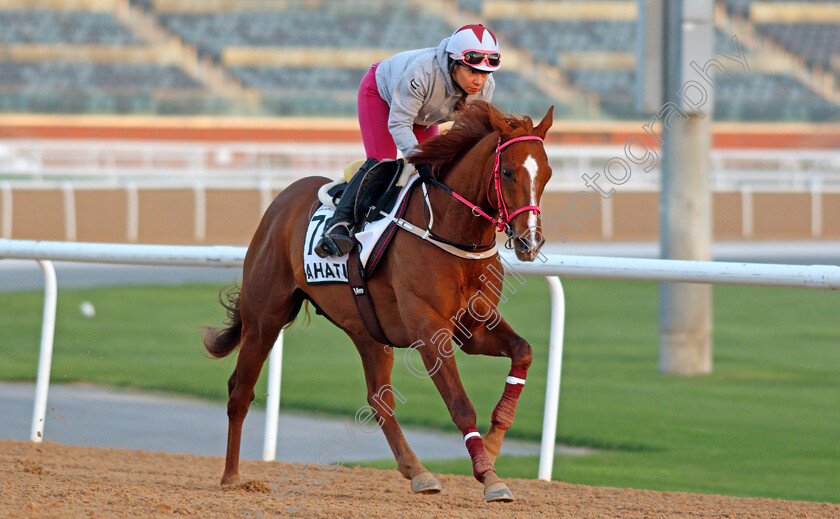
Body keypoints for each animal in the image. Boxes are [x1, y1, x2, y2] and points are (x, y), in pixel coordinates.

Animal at [205, 101, 552, 504]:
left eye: (547, 173)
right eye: (508, 172)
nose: (530, 242)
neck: (450, 230)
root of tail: (282, 200)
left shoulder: (474, 326)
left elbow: (523, 351)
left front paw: (494, 446)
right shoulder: (430, 330)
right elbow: (460, 404)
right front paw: (489, 477)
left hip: (368, 330)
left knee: (378, 400)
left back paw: (417, 471)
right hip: (264, 318)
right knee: (240, 392)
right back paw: (231, 476)